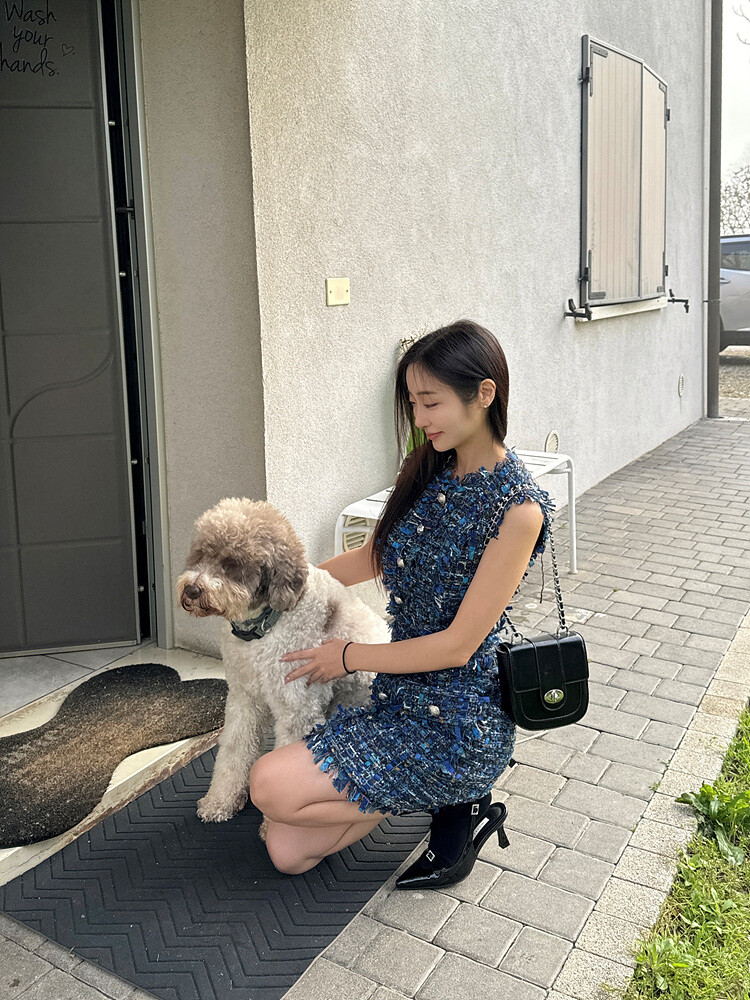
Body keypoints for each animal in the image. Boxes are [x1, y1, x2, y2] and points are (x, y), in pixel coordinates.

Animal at [175, 497, 390, 840]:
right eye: (201, 553)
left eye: (233, 563)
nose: (193, 590)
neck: (263, 628)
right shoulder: (244, 699)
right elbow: (233, 752)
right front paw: (220, 802)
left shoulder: (297, 709)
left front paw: (275, 828)